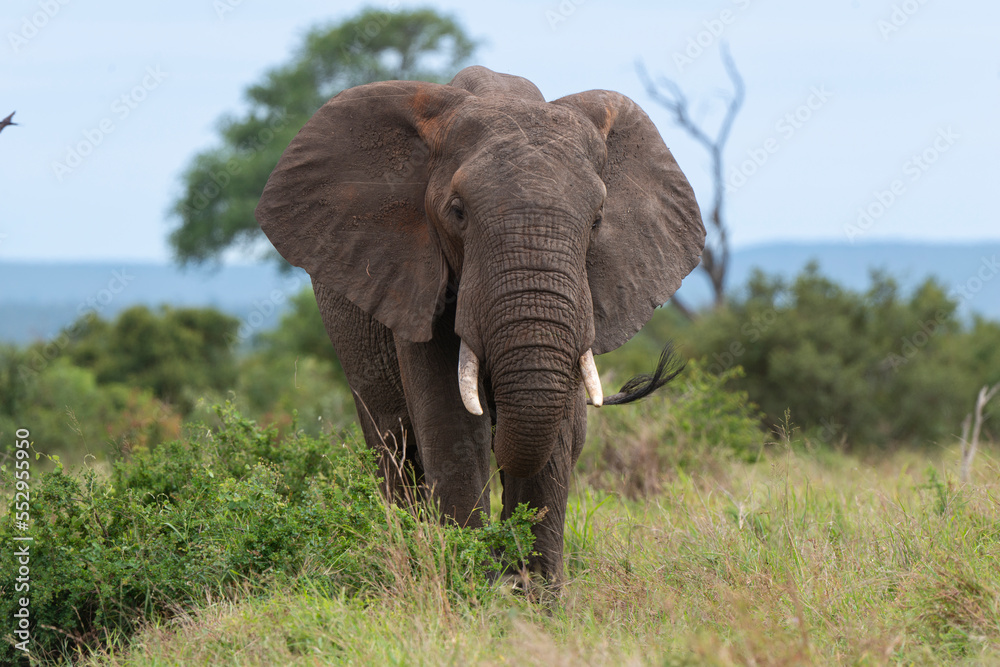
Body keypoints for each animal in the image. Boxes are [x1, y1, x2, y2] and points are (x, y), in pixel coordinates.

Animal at [255, 65, 705, 587]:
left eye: (596, 221)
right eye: (458, 213)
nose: (510, 579)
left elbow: (556, 438)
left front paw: (533, 600)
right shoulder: (414, 278)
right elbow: (453, 429)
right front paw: (473, 589)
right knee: (393, 444)